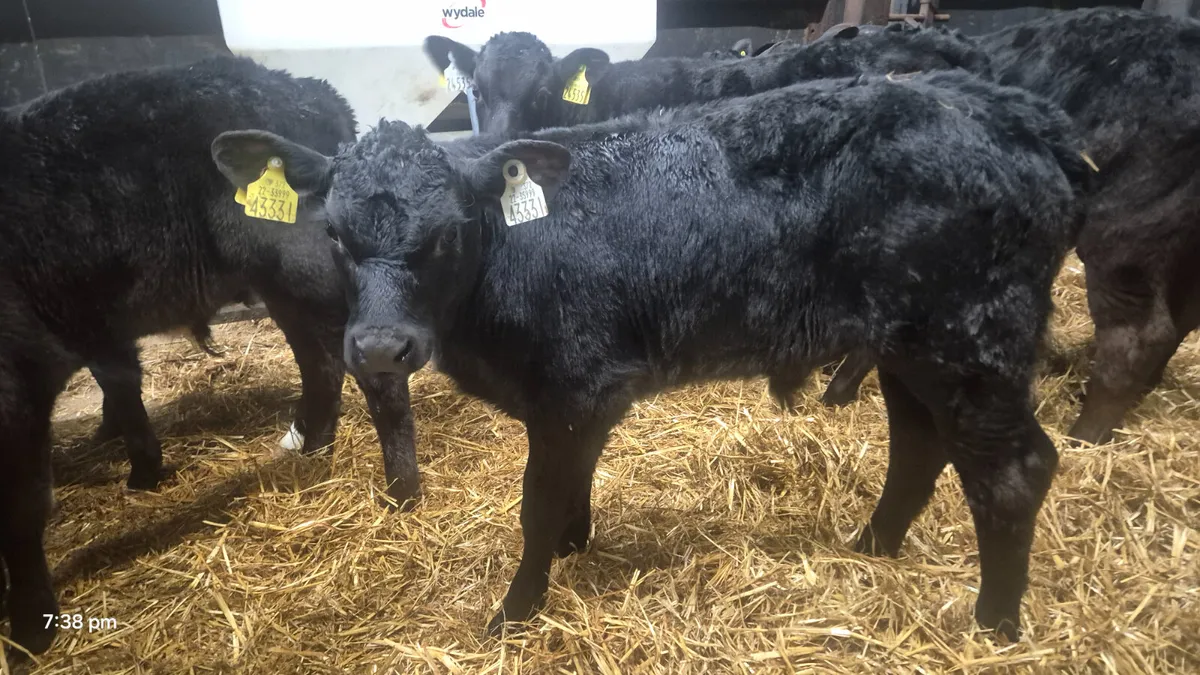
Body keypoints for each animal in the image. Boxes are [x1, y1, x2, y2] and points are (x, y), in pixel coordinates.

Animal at [0, 56, 420, 656]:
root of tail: (311, 91)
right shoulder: (98, 324)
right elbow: (121, 384)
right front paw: (144, 469)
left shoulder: (19, 376)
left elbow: (22, 506)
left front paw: (31, 625)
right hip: (281, 282)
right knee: (320, 364)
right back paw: (308, 448)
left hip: (308, 266)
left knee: (370, 369)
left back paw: (401, 492)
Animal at [213, 69, 1092, 641]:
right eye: (333, 233)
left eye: (447, 234)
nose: (378, 346)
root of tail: (1007, 109)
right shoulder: (577, 395)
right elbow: (572, 483)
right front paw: (575, 542)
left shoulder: (578, 385)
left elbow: (537, 502)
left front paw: (516, 609)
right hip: (907, 343)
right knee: (918, 443)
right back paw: (871, 545)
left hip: (970, 337)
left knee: (1013, 470)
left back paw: (993, 624)